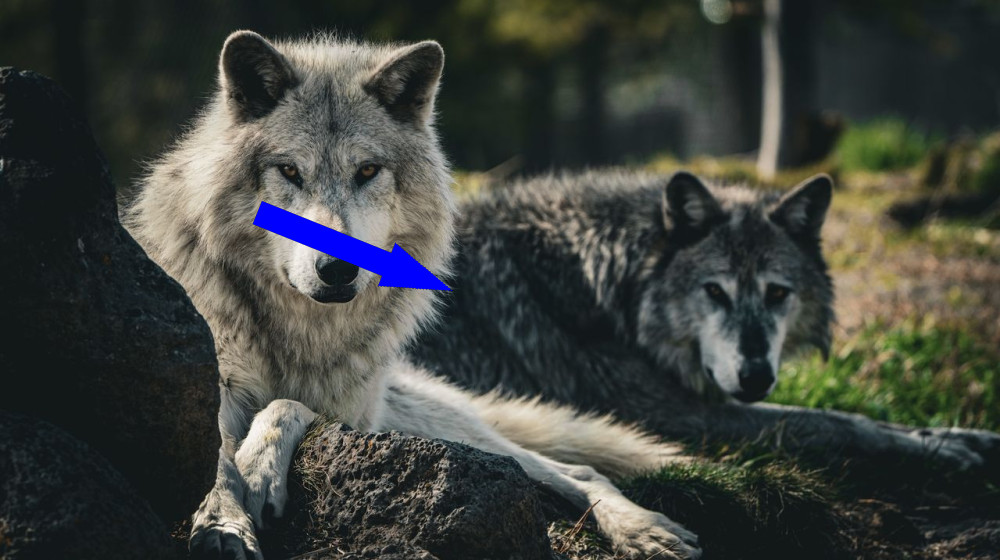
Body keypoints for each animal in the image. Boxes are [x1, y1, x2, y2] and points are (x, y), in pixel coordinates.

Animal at [125, 31, 703, 560]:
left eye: (367, 171)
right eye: (289, 171)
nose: (337, 269)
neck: (300, 330)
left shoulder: (355, 414)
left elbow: (286, 404)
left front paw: (259, 469)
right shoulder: (210, 388)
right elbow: (214, 461)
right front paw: (223, 525)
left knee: (578, 470)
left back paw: (646, 529)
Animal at [412, 170, 1000, 472]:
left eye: (777, 293)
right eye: (714, 291)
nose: (755, 376)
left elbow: (848, 413)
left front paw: (962, 434)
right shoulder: (674, 414)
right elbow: (831, 420)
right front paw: (941, 448)